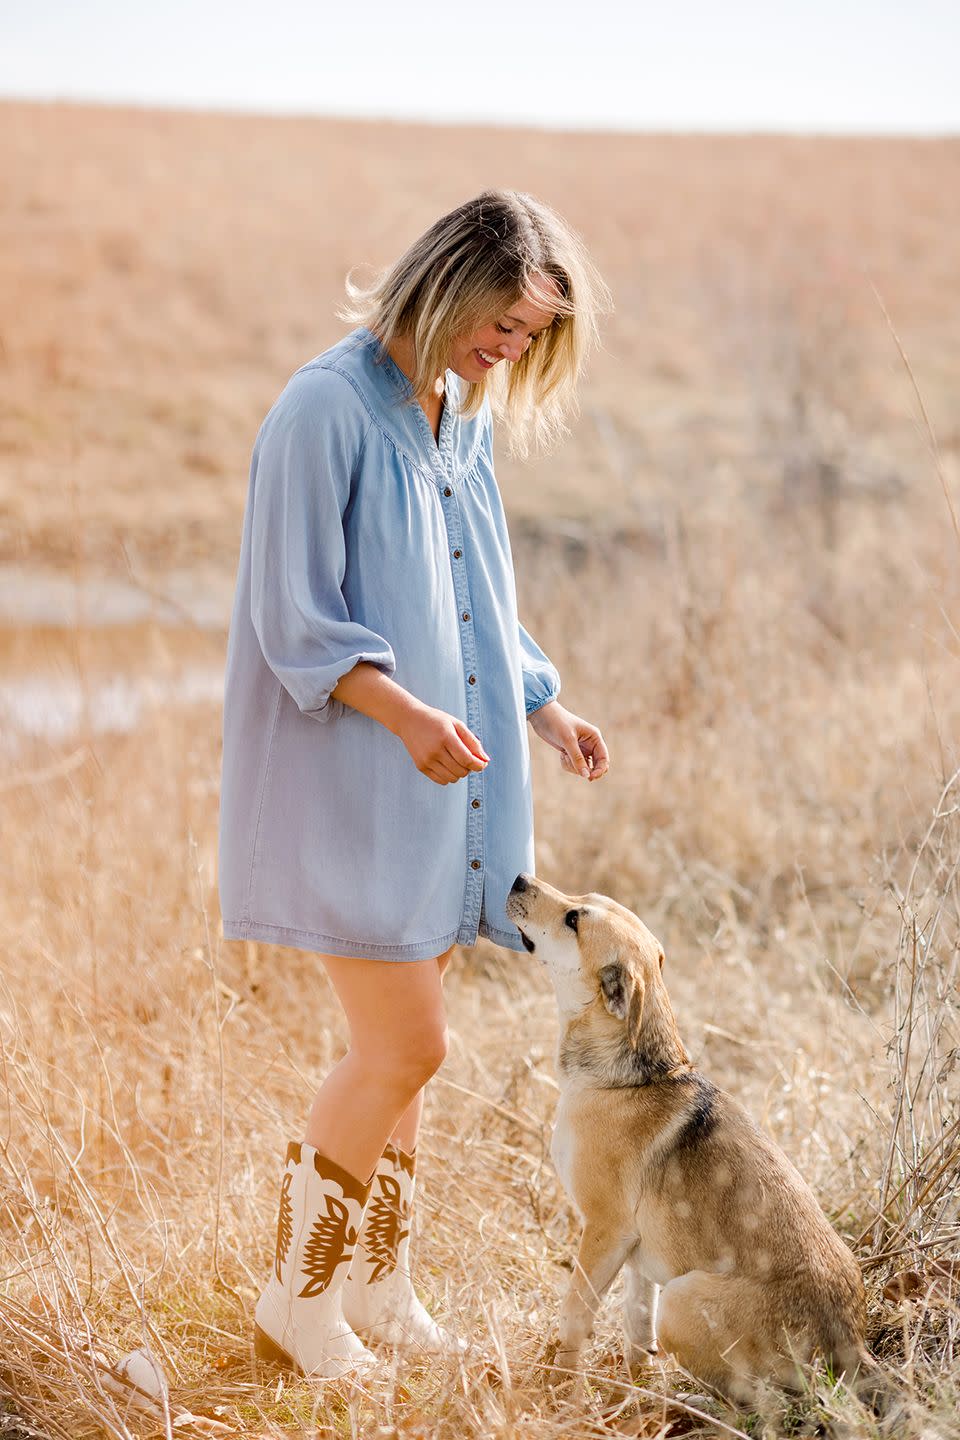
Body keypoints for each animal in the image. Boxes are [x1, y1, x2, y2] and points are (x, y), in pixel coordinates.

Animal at [506, 869, 869, 1399]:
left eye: (574, 918)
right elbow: (637, 1329)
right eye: (585, 898)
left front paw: (562, 1386)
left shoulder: (604, 1230)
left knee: (763, 1399)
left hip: (681, 1300)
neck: (632, 1077)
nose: (518, 877)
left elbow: (574, 1313)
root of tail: (850, 1347)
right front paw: (627, 1396)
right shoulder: (636, 1256)